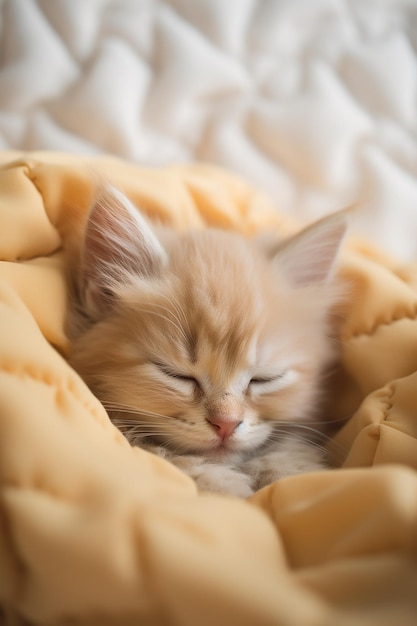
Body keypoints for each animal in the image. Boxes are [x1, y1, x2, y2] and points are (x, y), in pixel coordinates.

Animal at [67, 186, 348, 498]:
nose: (225, 424)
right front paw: (226, 485)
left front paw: (291, 475)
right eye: (175, 374)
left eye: (264, 379)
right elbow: (174, 460)